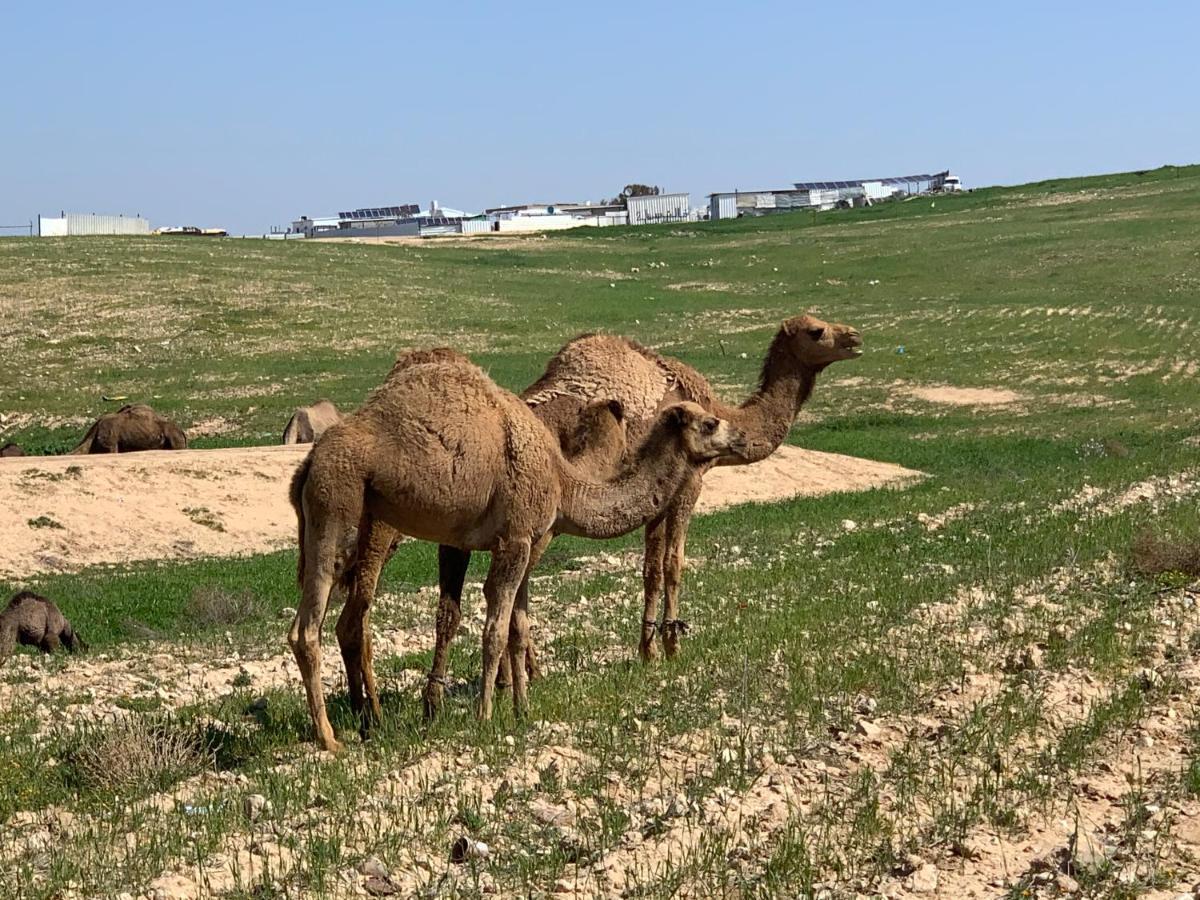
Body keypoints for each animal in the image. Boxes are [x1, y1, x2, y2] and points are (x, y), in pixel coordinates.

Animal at [288, 355, 739, 748]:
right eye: (710, 422)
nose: (737, 437)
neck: (563, 481)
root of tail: (309, 461)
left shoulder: (527, 542)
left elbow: (519, 629)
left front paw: (523, 710)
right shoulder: (515, 540)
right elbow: (495, 629)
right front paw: (486, 715)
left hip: (338, 520)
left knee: (322, 620)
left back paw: (357, 725)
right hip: (337, 505)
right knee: (309, 628)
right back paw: (331, 739)